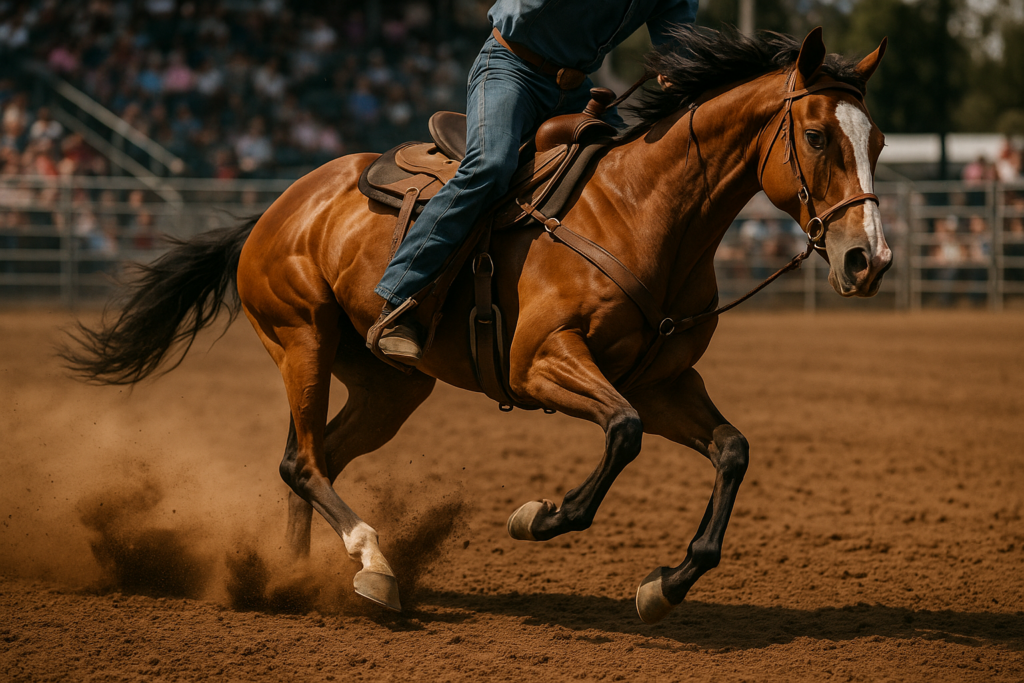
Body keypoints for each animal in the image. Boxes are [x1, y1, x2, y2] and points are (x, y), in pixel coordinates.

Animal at [63, 26, 891, 624]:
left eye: (878, 141)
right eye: (818, 136)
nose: (868, 259)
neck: (641, 209)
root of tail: (279, 206)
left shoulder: (663, 379)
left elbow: (731, 450)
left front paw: (668, 581)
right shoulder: (544, 363)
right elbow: (621, 433)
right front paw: (538, 515)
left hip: (390, 386)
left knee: (312, 456)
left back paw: (295, 577)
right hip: (301, 339)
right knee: (301, 461)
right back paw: (372, 564)